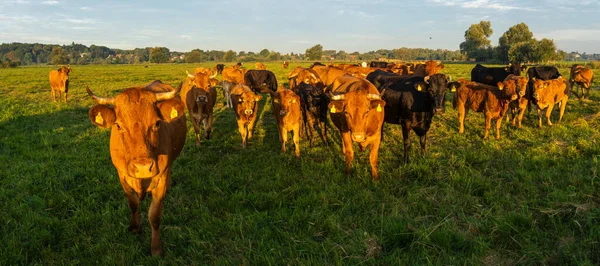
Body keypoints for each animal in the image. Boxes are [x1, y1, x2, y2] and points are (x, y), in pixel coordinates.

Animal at [85, 79, 186, 256]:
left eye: (157, 123)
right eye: (118, 126)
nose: (143, 167)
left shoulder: (160, 178)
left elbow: (155, 216)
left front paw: (156, 248)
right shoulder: (122, 176)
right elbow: (133, 204)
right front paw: (134, 228)